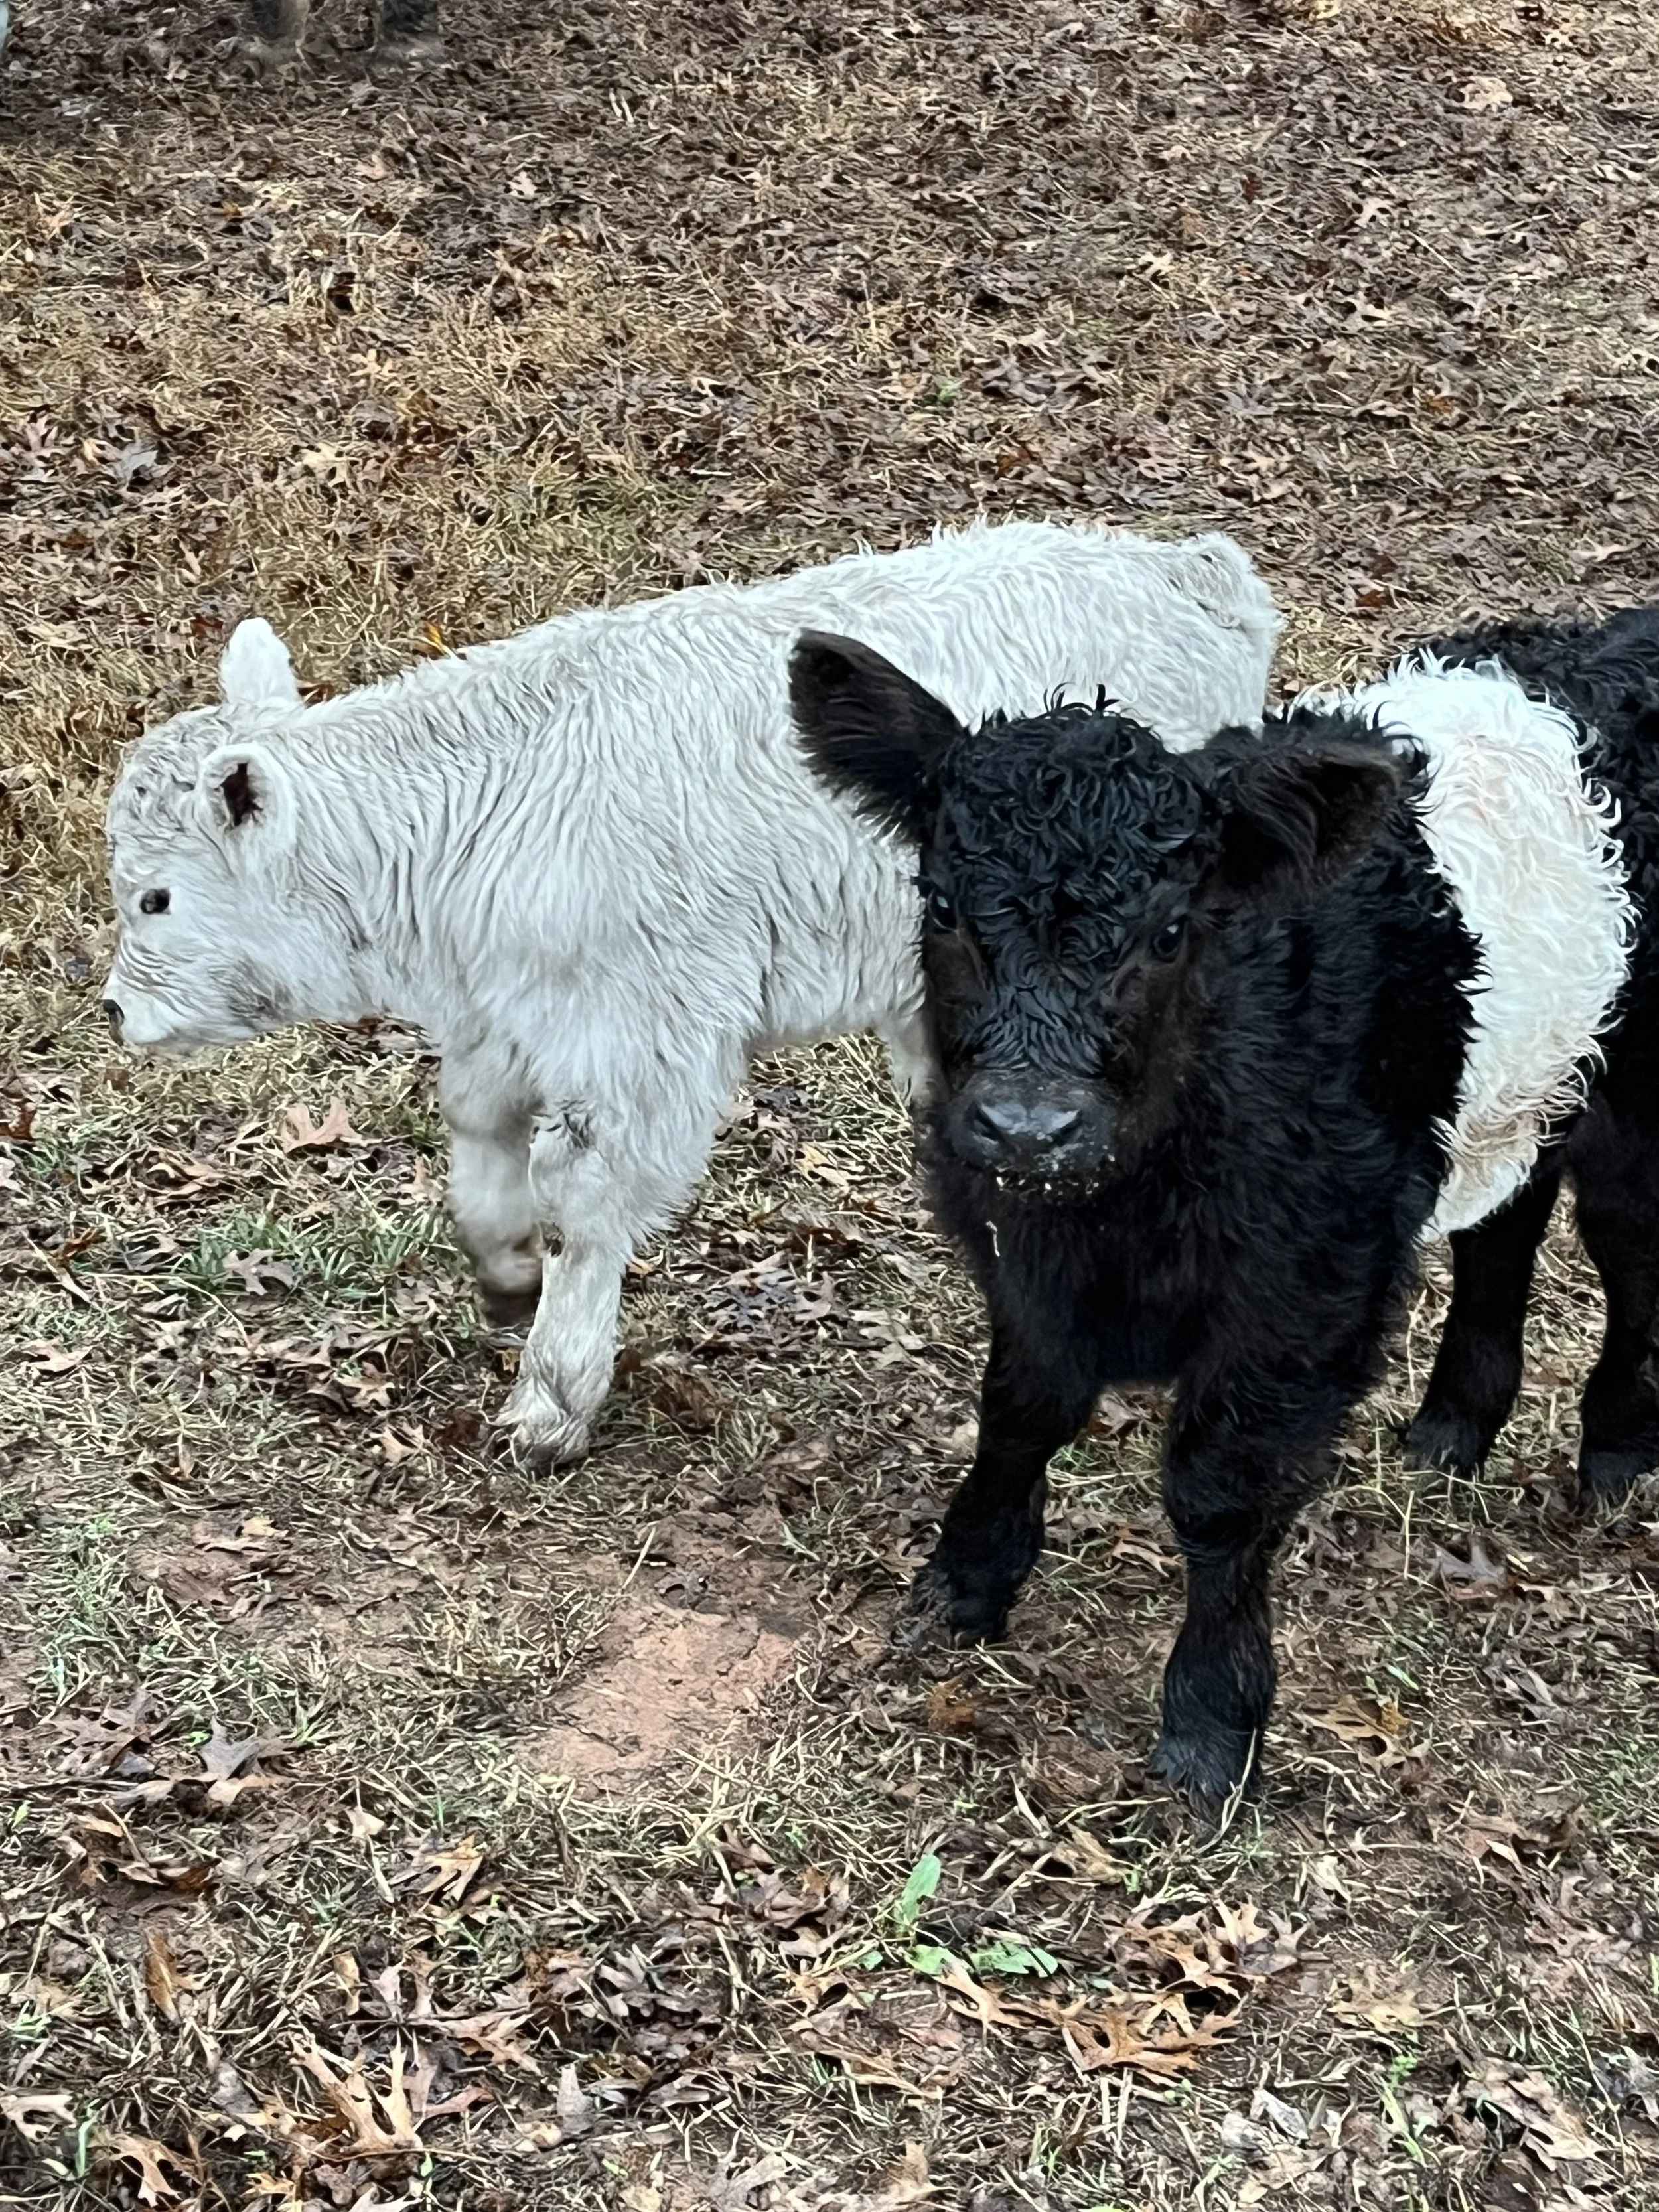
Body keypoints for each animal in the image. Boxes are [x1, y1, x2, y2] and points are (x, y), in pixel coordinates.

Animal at [102, 520, 1279, 1466]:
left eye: (156, 895)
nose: (116, 1011)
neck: (479, 806)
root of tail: (1190, 570)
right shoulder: (509, 1016)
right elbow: (479, 1134)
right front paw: (504, 1270)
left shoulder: (640, 1043)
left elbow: (583, 1200)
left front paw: (554, 1400)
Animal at [788, 603, 1658, 1804]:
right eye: (944, 906)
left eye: (1168, 931)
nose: (1028, 1125)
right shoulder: (1021, 1243)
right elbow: (1021, 1406)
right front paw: (964, 1581)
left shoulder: (1309, 1281)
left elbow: (1220, 1489)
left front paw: (1210, 1723)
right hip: (1525, 1083)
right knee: (1508, 1220)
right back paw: (1452, 1426)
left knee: (1629, 1242)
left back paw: (1617, 1446)